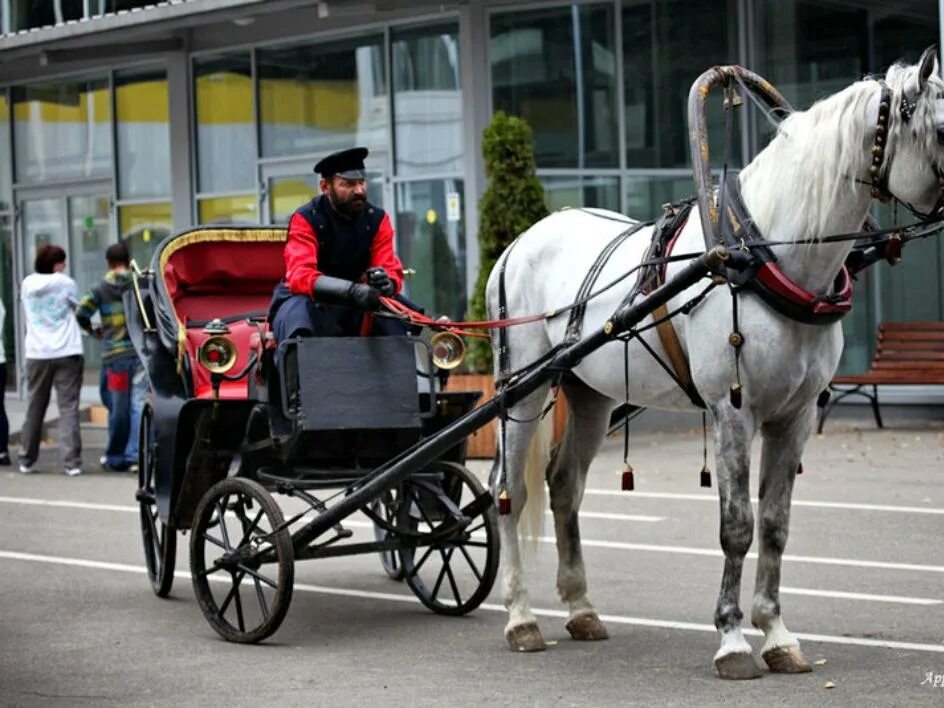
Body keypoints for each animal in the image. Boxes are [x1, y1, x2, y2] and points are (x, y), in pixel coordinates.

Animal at [486, 47, 944, 676]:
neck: (762, 255)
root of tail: (517, 243)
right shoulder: (734, 411)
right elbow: (737, 527)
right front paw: (732, 639)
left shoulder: (796, 415)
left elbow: (774, 525)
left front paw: (776, 635)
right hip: (523, 392)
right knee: (509, 490)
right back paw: (520, 618)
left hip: (591, 395)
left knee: (564, 487)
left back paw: (580, 608)